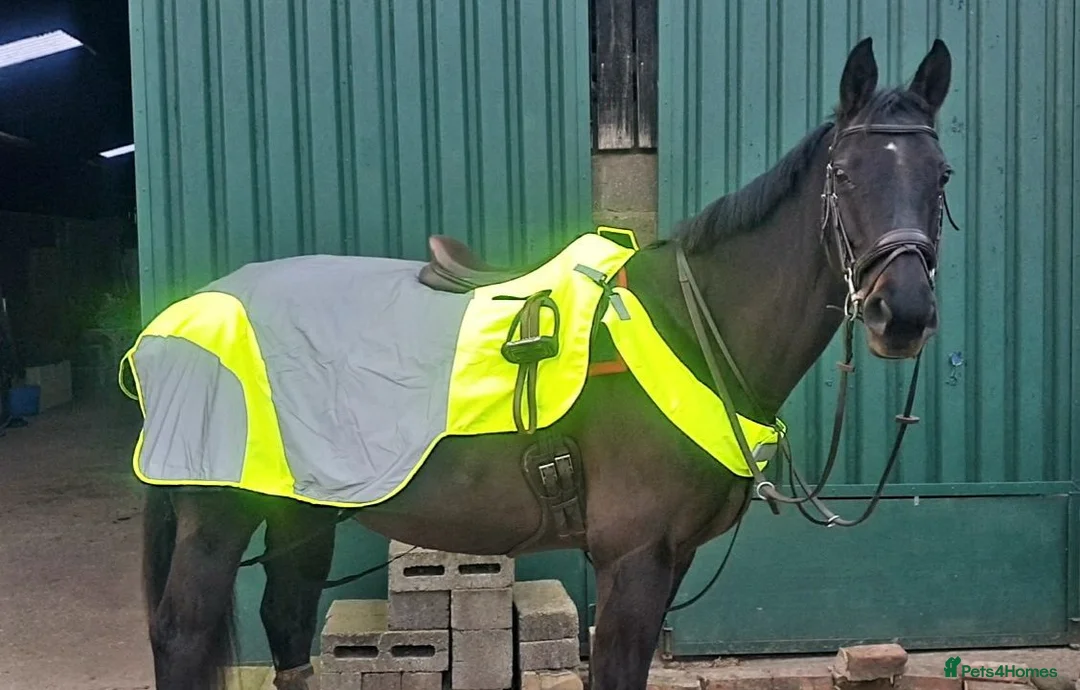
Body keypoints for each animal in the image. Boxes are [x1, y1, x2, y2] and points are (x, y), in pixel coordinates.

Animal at [138, 36, 955, 690]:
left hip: (302, 509)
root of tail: (183, 315)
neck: (693, 328)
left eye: (941, 174)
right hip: (218, 517)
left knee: (286, 617)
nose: (904, 315)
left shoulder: (672, 560)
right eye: (844, 174)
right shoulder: (632, 563)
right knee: (182, 635)